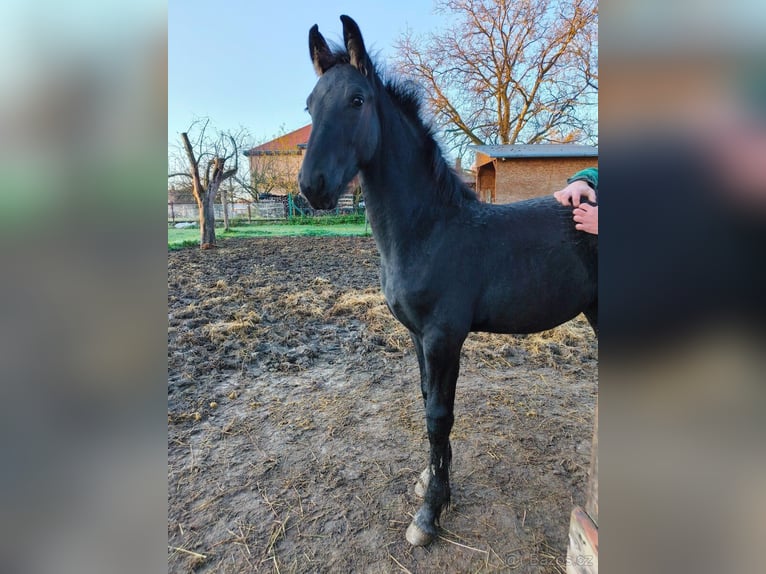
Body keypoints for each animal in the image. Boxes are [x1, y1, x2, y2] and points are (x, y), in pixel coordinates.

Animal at [298, 15, 597, 547]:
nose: (313, 187)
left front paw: (428, 515)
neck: (428, 229)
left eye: (357, 100)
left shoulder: (443, 336)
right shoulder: (421, 338)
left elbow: (439, 416)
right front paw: (432, 484)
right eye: (310, 105)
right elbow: (429, 404)